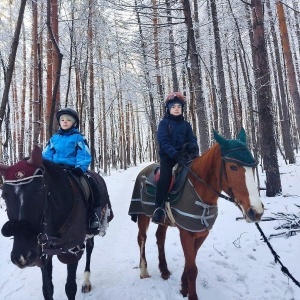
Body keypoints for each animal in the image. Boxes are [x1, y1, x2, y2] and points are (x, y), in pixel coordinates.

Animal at [0, 145, 112, 298]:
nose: (22, 256)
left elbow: (70, 287)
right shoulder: (43, 252)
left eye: (39, 191)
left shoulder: (72, 249)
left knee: (90, 249)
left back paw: (86, 281)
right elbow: (47, 290)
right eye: (4, 195)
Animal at [127, 128, 264, 300]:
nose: (256, 211)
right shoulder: (186, 233)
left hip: (163, 220)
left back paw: (164, 270)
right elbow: (192, 269)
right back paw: (144, 270)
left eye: (254, 166)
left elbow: (189, 263)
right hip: (142, 214)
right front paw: (191, 294)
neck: (199, 190)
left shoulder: (201, 233)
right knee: (141, 239)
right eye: (233, 167)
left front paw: (184, 286)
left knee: (160, 238)